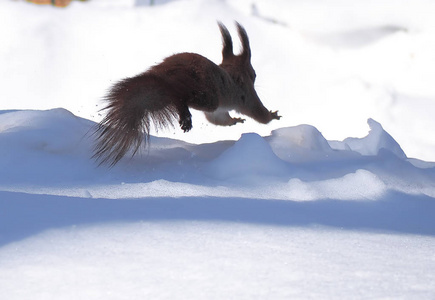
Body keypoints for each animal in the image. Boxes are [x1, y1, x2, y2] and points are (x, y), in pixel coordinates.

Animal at [93, 22, 282, 165]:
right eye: (253, 73)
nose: (255, 77)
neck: (233, 73)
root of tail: (165, 73)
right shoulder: (247, 97)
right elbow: (259, 114)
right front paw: (272, 115)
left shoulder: (219, 111)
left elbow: (218, 119)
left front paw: (234, 120)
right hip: (206, 96)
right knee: (180, 96)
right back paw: (185, 116)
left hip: (162, 99)